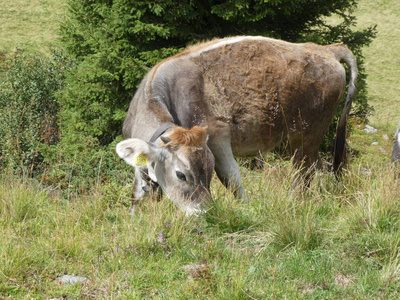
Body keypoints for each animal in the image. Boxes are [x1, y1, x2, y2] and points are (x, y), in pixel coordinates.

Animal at [115, 35, 356, 213]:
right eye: (181, 175)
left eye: (208, 169)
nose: (205, 212)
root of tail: (326, 50)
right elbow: (138, 193)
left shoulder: (218, 139)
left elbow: (231, 178)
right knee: (316, 167)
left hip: (306, 135)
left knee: (304, 171)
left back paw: (293, 202)